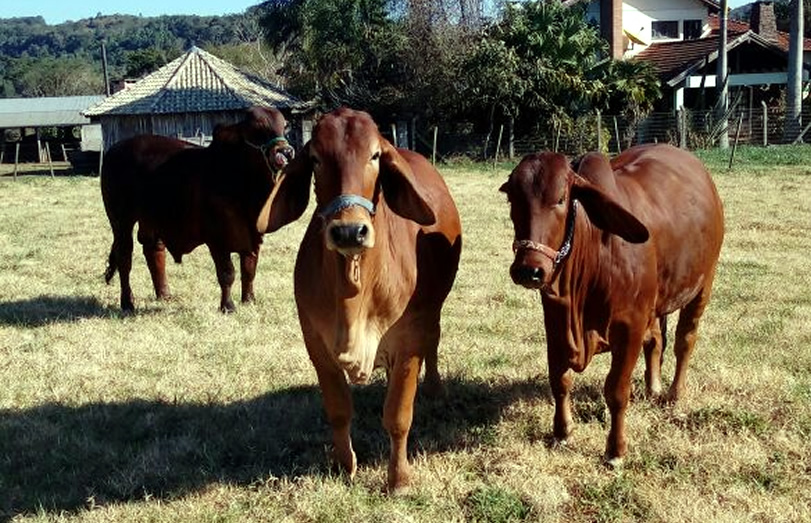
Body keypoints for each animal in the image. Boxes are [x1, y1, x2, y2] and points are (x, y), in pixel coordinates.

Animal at [100, 106, 294, 312]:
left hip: (152, 219)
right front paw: (228, 306)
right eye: (257, 128)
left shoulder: (254, 237)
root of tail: (114, 149)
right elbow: (227, 273)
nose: (286, 151)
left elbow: (249, 270)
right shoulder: (217, 238)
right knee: (124, 257)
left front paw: (249, 300)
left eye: (284, 126)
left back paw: (165, 295)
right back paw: (127, 302)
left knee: (153, 250)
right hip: (120, 221)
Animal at [502, 143, 724, 466]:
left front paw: (615, 451)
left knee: (685, 341)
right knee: (655, 340)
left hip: (702, 285)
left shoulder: (629, 327)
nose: (529, 270)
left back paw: (673, 394)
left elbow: (617, 390)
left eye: (561, 198)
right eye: (512, 198)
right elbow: (560, 380)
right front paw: (562, 432)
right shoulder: (555, 322)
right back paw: (653, 387)